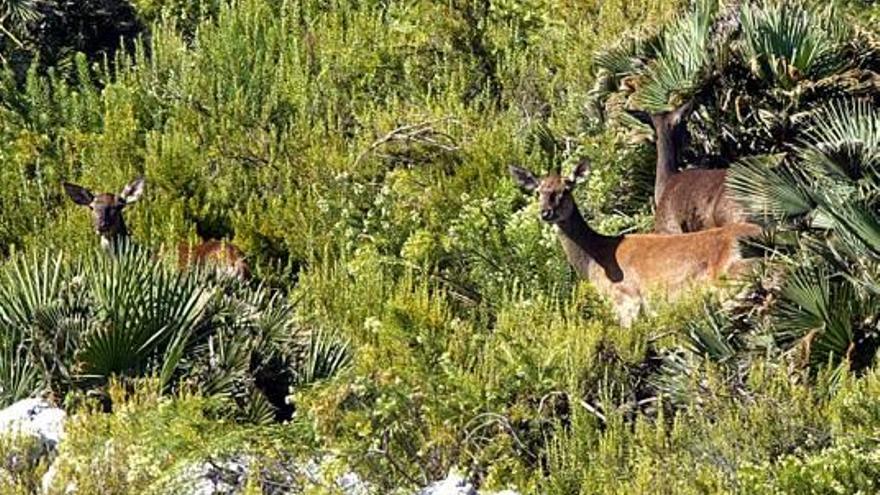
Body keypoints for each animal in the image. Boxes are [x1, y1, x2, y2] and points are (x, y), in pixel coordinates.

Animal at [508, 161, 764, 328]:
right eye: (538, 191)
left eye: (566, 189)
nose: (546, 212)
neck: (595, 259)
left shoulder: (626, 301)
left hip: (733, 282)